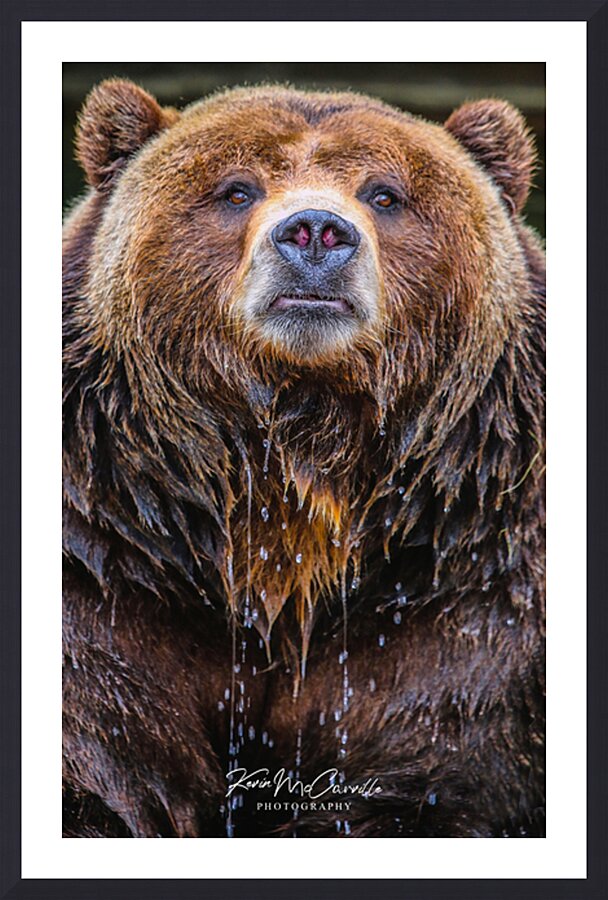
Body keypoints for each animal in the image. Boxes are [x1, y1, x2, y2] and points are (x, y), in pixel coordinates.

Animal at [62, 79, 545, 838]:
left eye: (385, 193)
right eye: (236, 188)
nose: (315, 231)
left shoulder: (467, 592)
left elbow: (433, 770)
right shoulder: (106, 567)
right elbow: (101, 759)